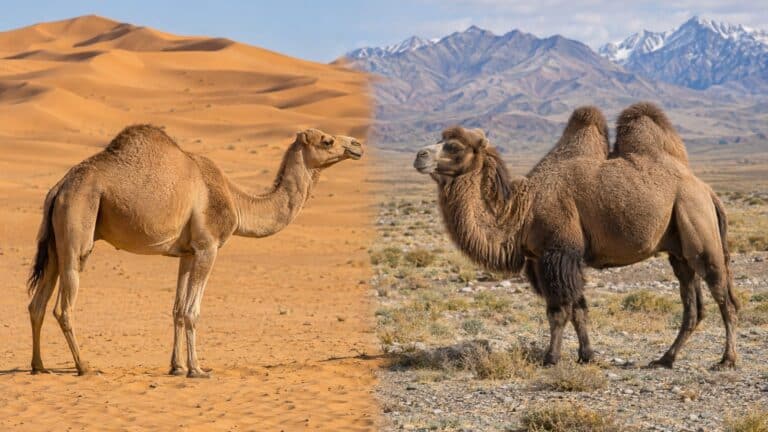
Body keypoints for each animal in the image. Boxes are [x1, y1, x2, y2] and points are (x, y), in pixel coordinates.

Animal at [27, 125, 364, 377]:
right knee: (63, 305)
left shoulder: (187, 253)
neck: (237, 202)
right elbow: (192, 311)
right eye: (327, 140)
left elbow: (177, 309)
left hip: (55, 238)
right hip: (79, 223)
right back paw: (84, 366)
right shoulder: (207, 247)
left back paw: (39, 366)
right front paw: (197, 369)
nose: (357, 145)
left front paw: (176, 367)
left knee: (37, 304)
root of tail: (58, 188)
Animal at [413, 103, 739, 369]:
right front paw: (586, 355)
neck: (522, 211)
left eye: (454, 146)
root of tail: (707, 190)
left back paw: (726, 360)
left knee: (723, 295)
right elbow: (579, 308)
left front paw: (551, 358)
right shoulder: (548, 259)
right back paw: (665, 359)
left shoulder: (559, 252)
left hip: (698, 224)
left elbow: (559, 312)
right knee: (692, 305)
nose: (419, 155)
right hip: (678, 249)